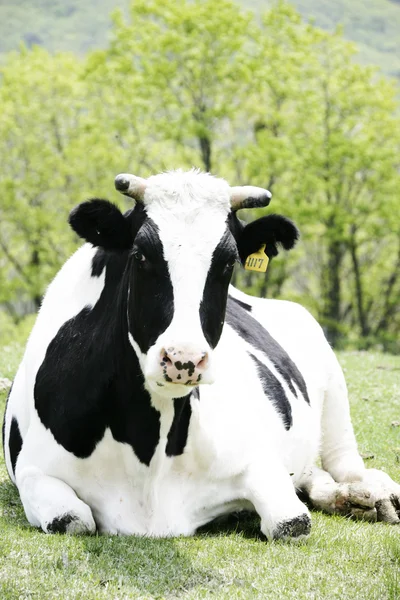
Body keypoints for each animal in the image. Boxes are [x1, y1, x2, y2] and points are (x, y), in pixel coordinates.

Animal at [1, 170, 398, 540]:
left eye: (228, 262)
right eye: (140, 255)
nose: (184, 359)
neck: (147, 448)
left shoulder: (257, 459)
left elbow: (291, 523)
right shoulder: (34, 472)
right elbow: (73, 520)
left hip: (334, 389)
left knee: (347, 464)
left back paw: (375, 493)